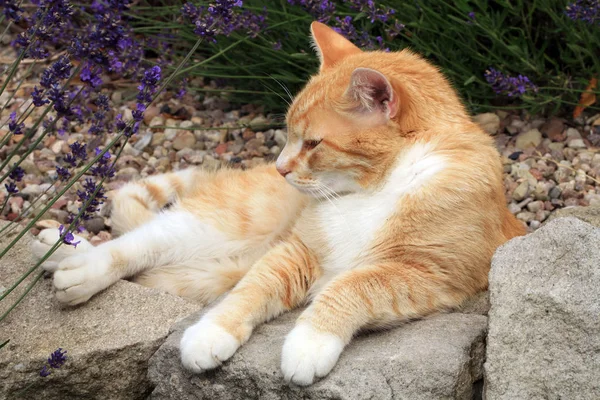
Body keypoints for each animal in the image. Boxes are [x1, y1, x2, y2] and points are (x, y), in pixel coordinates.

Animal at [32, 21, 524, 384]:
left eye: (313, 143)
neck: (380, 185)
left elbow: (352, 285)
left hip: (204, 270)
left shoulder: (428, 274)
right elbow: (253, 289)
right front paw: (210, 331)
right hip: (222, 220)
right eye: (289, 134)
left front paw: (308, 343)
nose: (281, 167)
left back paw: (63, 255)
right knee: (139, 242)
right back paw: (77, 262)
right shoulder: (297, 250)